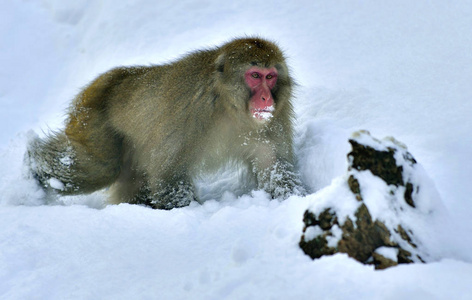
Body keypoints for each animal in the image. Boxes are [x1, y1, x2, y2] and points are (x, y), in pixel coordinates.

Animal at [27, 37, 304, 210]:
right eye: (255, 76)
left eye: (271, 77)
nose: (267, 98)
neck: (229, 106)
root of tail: (109, 78)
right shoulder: (190, 111)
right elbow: (169, 172)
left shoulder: (274, 120)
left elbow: (275, 171)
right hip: (90, 117)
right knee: (99, 168)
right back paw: (31, 168)